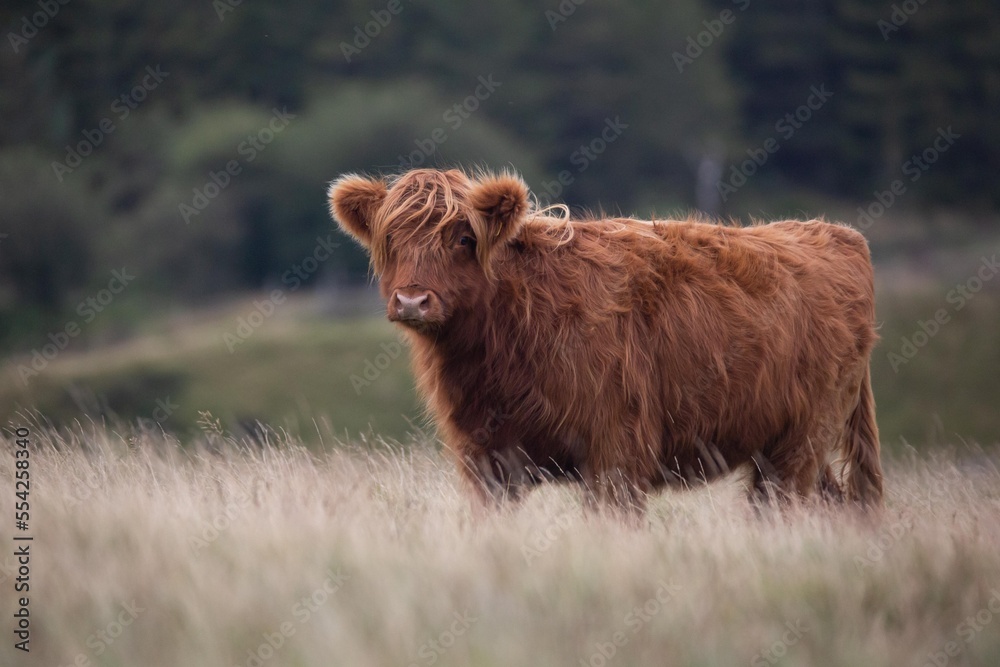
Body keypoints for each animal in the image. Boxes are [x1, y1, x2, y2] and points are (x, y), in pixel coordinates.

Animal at [328, 170, 884, 516]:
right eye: (389, 241)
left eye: (464, 239)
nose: (412, 300)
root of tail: (836, 233)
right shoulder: (485, 459)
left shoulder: (617, 448)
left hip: (802, 438)